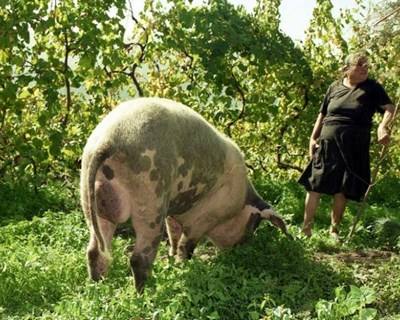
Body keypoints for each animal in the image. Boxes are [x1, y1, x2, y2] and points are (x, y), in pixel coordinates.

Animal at [81, 97, 288, 292]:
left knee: (94, 250)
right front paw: (184, 268)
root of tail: (108, 140)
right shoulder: (206, 216)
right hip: (151, 197)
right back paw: (145, 294)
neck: (238, 201)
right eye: (254, 223)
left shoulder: (173, 212)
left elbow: (173, 236)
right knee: (139, 258)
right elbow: (185, 245)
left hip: (89, 194)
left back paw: (98, 287)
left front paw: (172, 261)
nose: (242, 246)